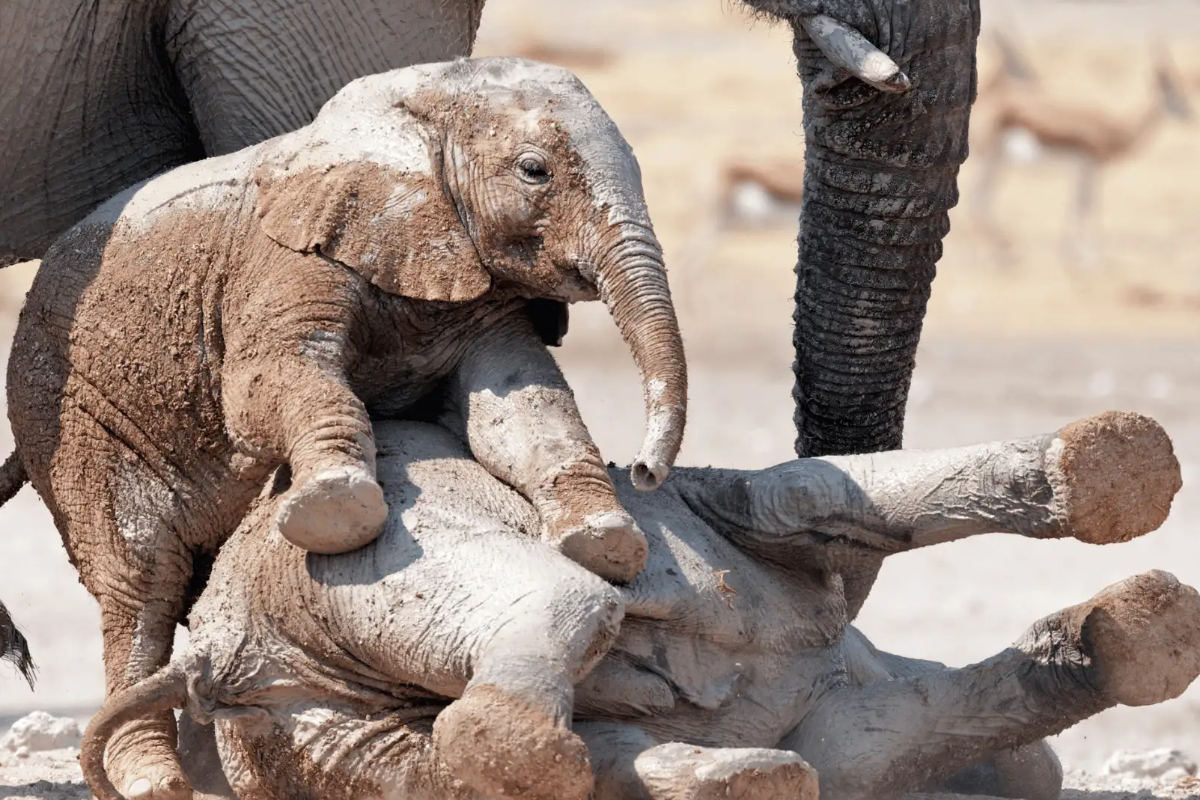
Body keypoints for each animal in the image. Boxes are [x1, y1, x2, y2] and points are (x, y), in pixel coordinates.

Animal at [0, 56, 688, 798]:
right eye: (534, 171)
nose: (646, 469)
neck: (418, 106)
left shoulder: (471, 281)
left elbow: (515, 400)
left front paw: (605, 541)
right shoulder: (289, 258)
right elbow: (271, 376)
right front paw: (336, 509)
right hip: (70, 410)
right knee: (140, 578)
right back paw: (155, 780)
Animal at [80, 409, 1197, 800]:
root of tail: (212, 652)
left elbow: (815, 507)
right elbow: (806, 498)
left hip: (314, 728)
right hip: (348, 570)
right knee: (561, 624)